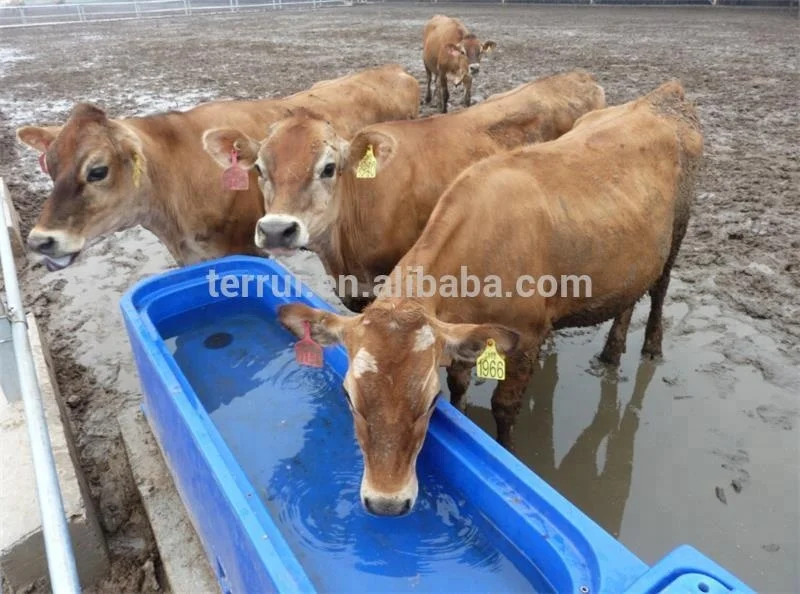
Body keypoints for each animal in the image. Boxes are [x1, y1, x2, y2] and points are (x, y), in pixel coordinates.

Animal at [278, 81, 704, 516]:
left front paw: (506, 451)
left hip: (678, 230)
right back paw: (611, 351)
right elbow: (460, 381)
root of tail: (662, 96)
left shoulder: (526, 337)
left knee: (660, 289)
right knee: (629, 297)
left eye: (429, 402)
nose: (386, 503)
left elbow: (505, 405)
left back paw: (650, 346)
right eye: (349, 396)